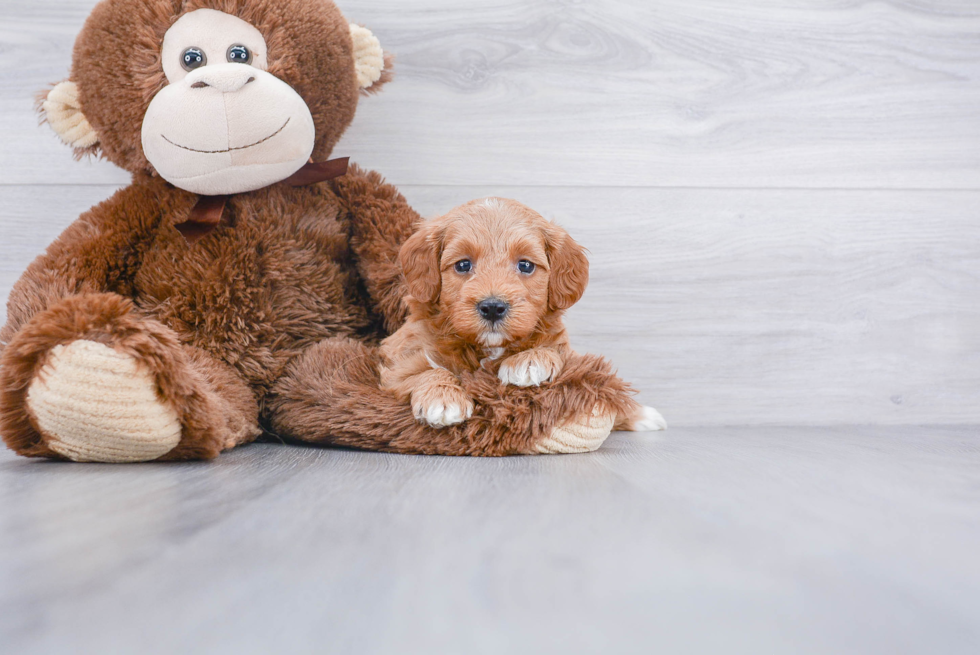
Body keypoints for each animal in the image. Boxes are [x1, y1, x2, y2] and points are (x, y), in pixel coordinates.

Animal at [380, 199, 668, 436]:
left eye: (526, 265)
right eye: (463, 265)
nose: (493, 307)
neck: (490, 348)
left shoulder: (565, 350)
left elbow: (560, 354)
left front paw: (529, 361)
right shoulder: (396, 360)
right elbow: (424, 370)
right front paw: (442, 398)